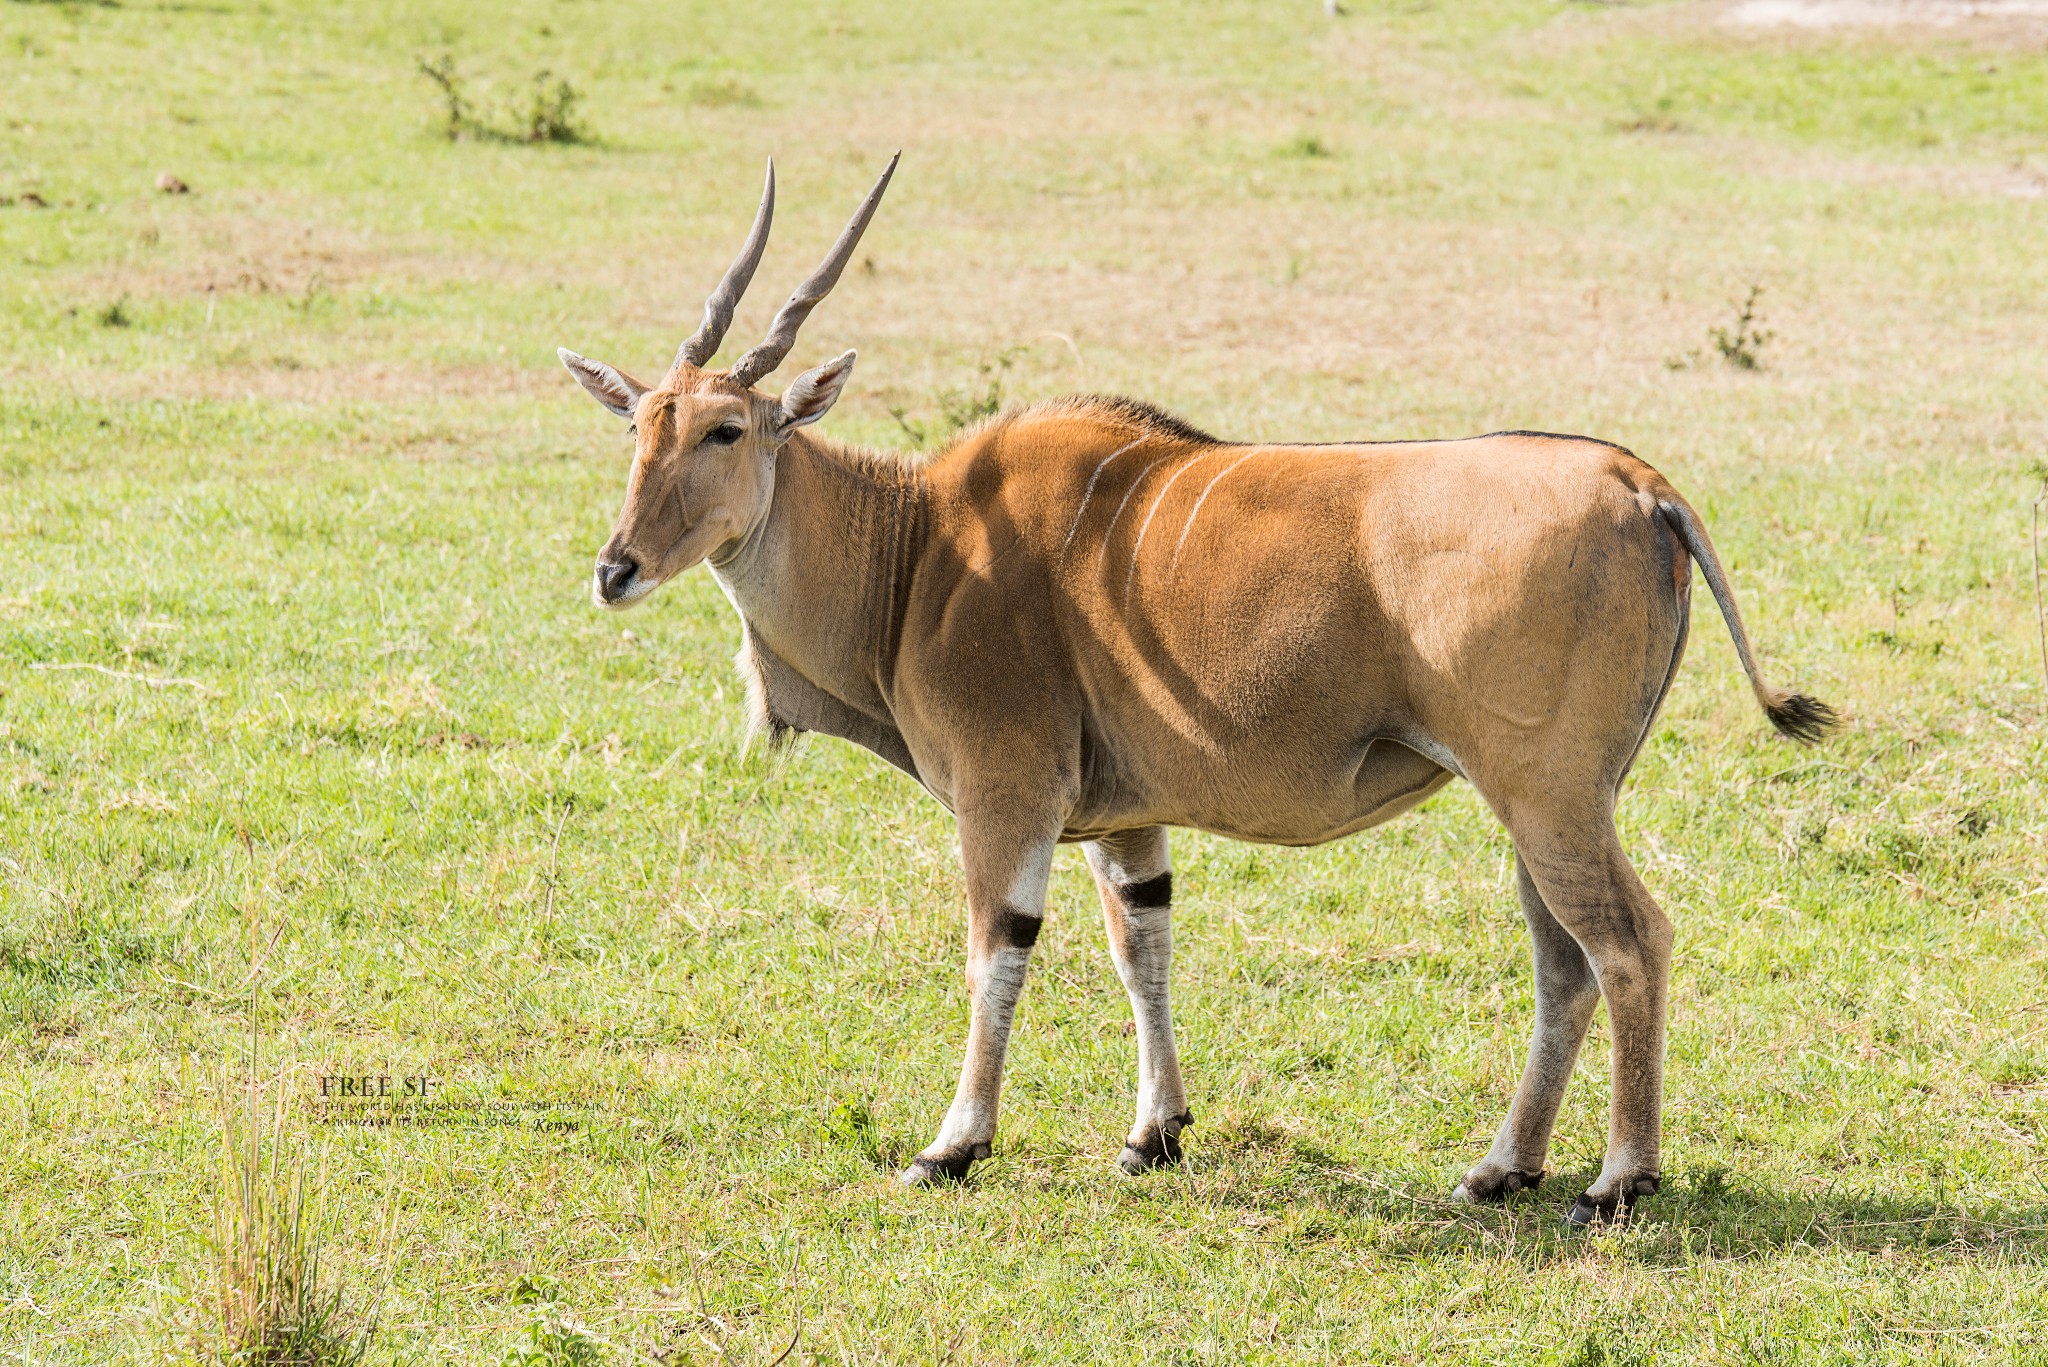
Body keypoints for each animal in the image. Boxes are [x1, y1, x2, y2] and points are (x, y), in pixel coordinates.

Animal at [561, 154, 1843, 1221]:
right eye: (638, 428)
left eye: (727, 430)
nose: (616, 566)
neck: (921, 540)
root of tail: (1638, 482)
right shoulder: (1123, 818)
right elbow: (1143, 944)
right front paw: (1153, 1133)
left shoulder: (1005, 794)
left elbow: (995, 948)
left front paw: (952, 1145)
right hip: (1544, 804)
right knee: (1562, 959)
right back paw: (1500, 1167)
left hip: (1547, 795)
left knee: (1627, 941)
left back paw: (1616, 1179)